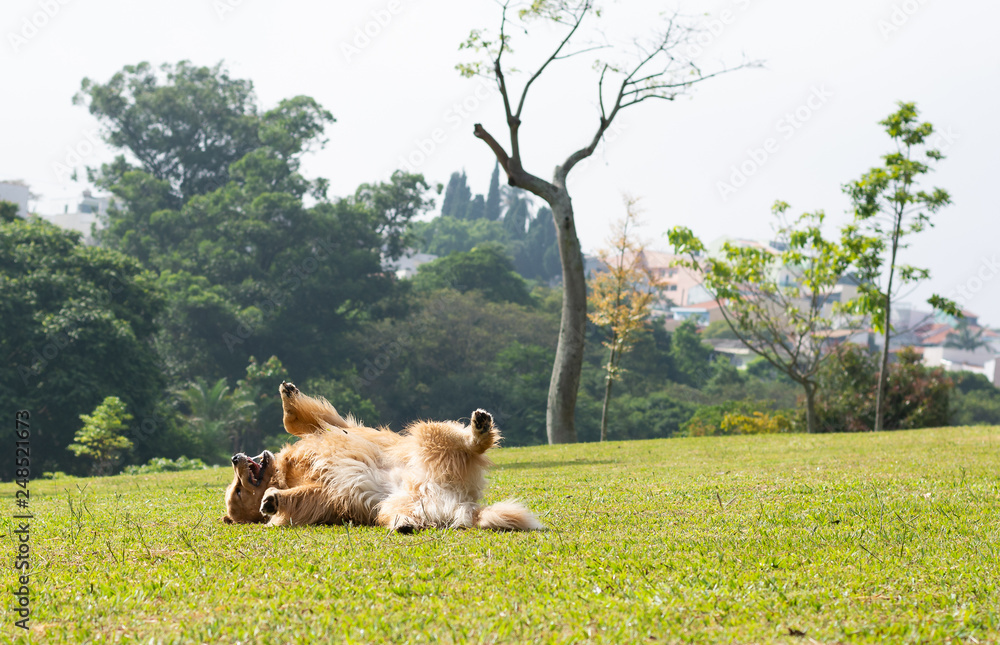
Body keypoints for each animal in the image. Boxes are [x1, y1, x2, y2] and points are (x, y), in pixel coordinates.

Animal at [224, 380, 544, 532]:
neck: (285, 474)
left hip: (427, 434)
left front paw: (288, 394)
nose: (234, 458)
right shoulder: (323, 497)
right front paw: (272, 500)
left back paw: (478, 427)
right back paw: (404, 525)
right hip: (391, 505)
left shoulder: (331, 428)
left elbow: (295, 422)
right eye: (238, 491)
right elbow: (296, 498)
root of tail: (462, 502)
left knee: (468, 443)